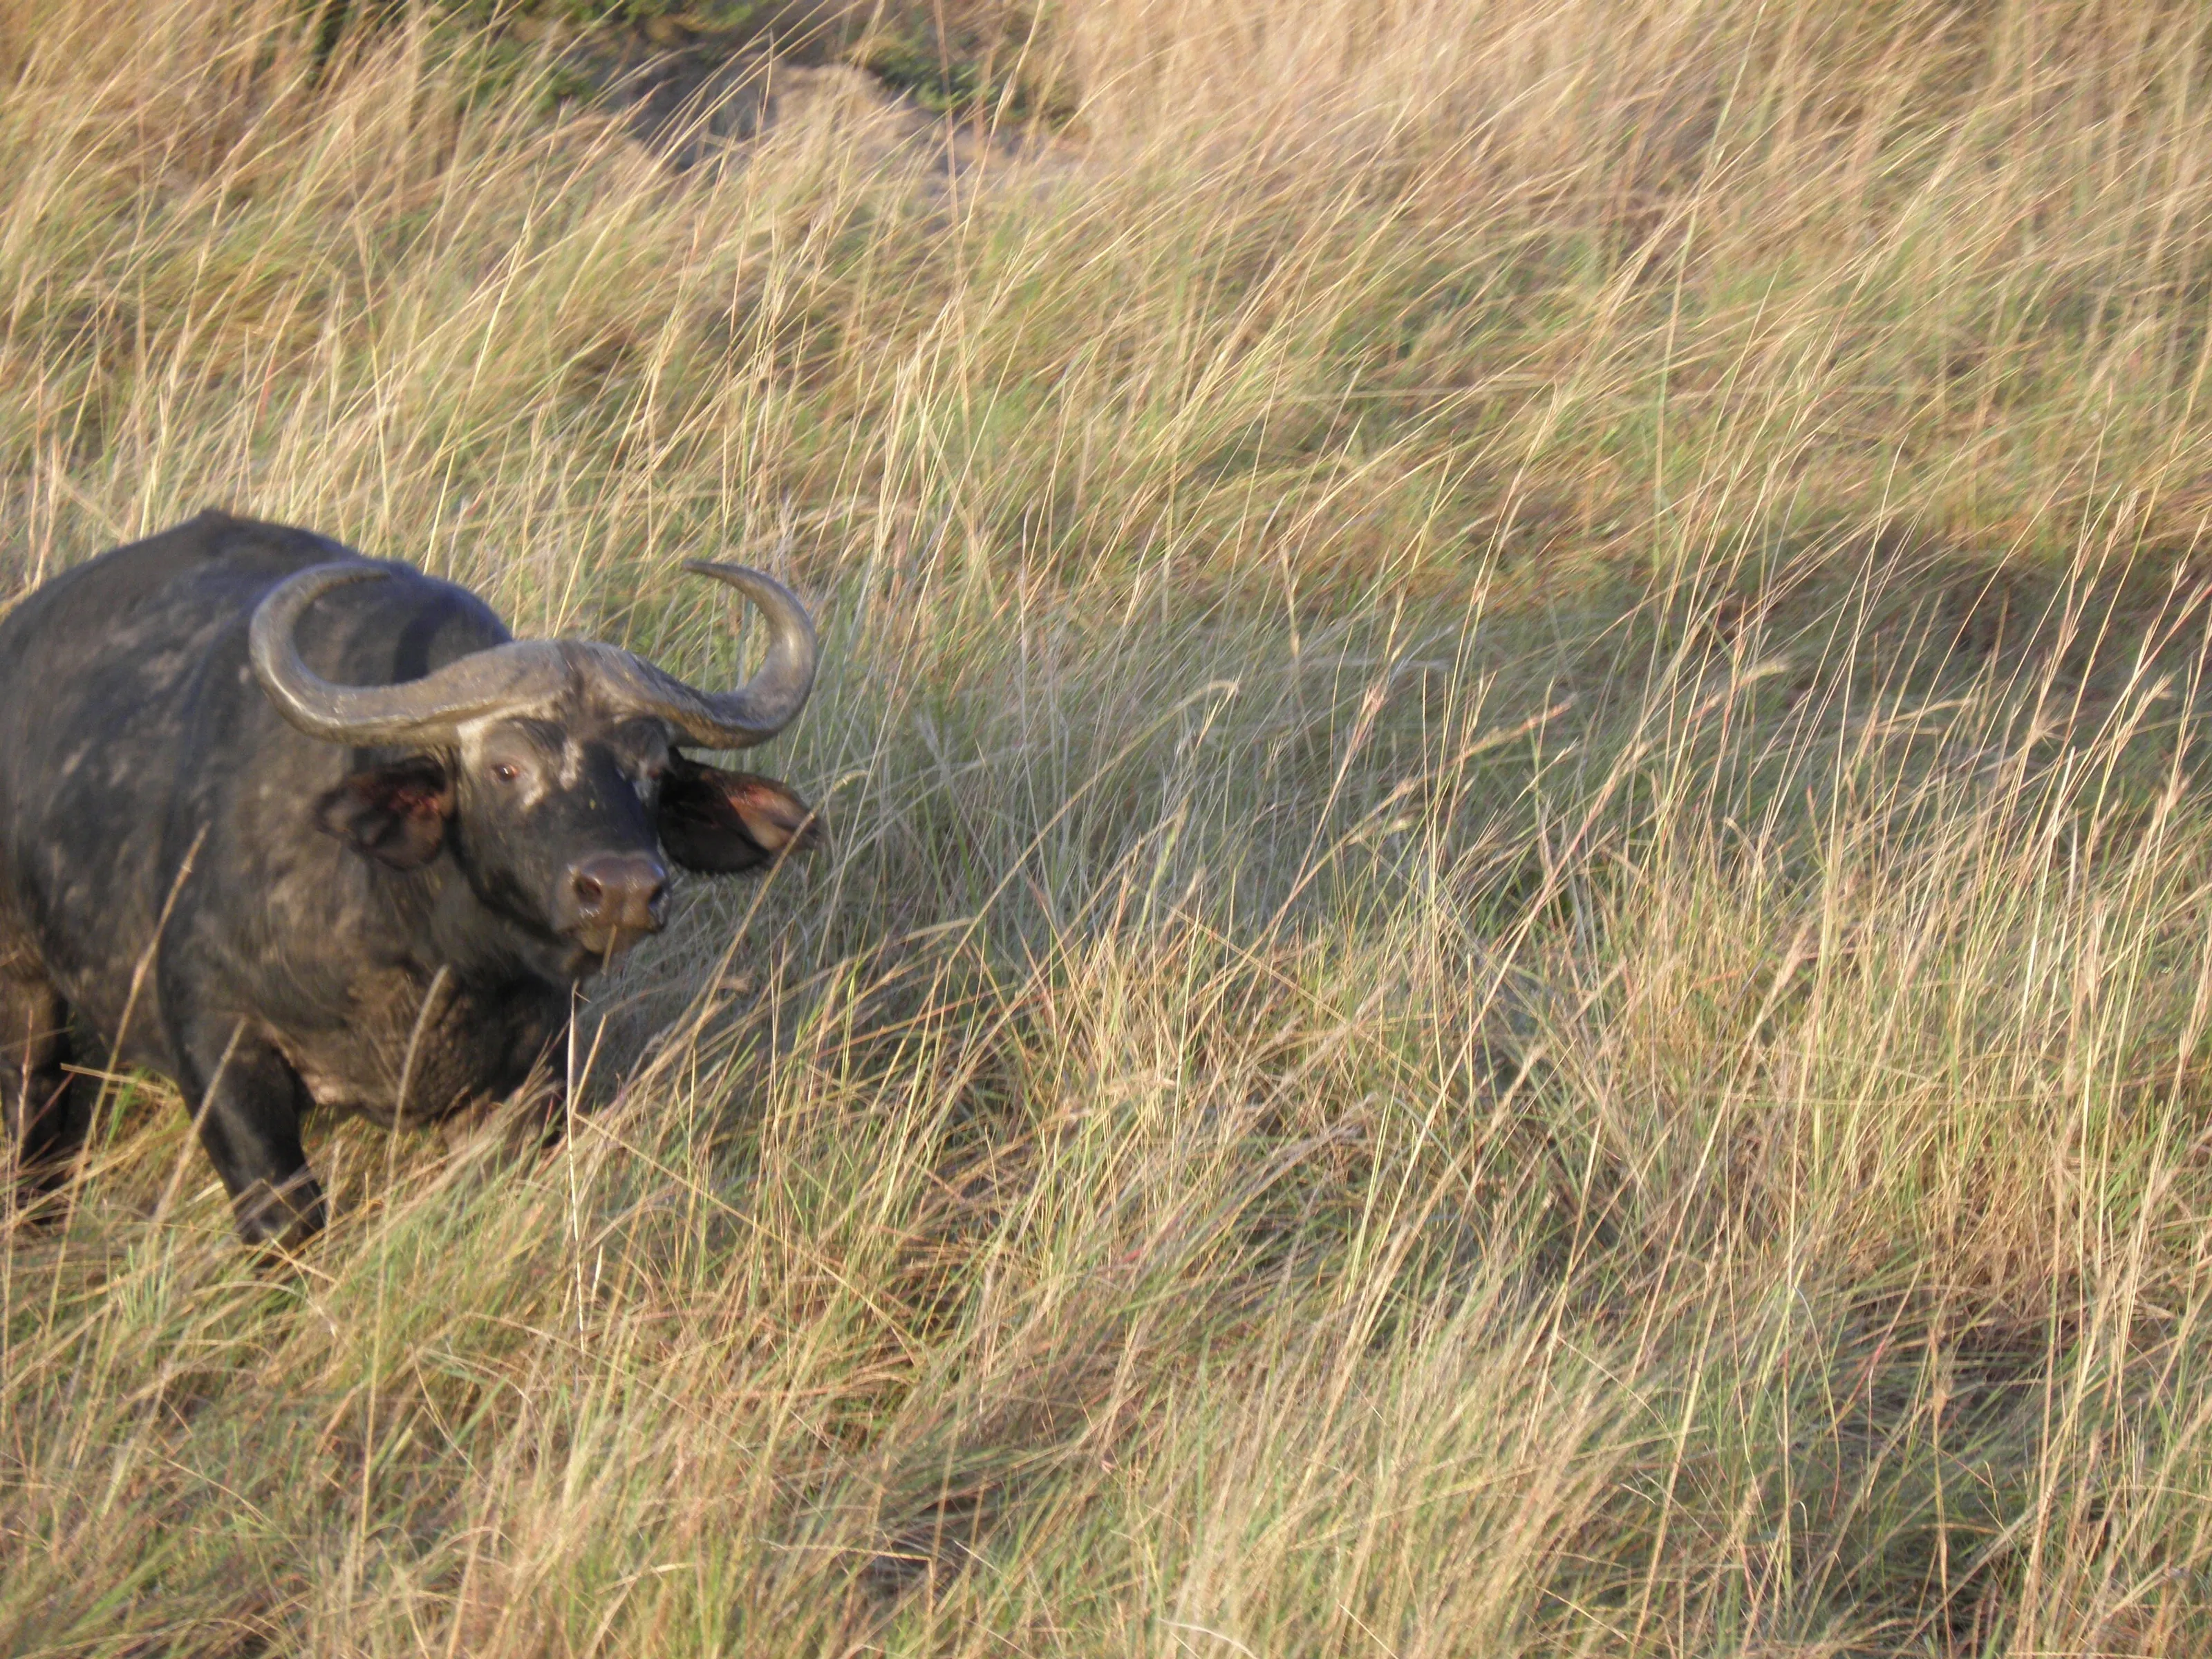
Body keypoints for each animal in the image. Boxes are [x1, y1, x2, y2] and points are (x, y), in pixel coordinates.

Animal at [0, 510, 822, 1245]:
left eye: (652, 770)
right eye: (506, 767)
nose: (622, 889)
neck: (429, 956)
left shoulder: (532, 1073)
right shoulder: (216, 1043)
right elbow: (287, 1216)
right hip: (23, 988)